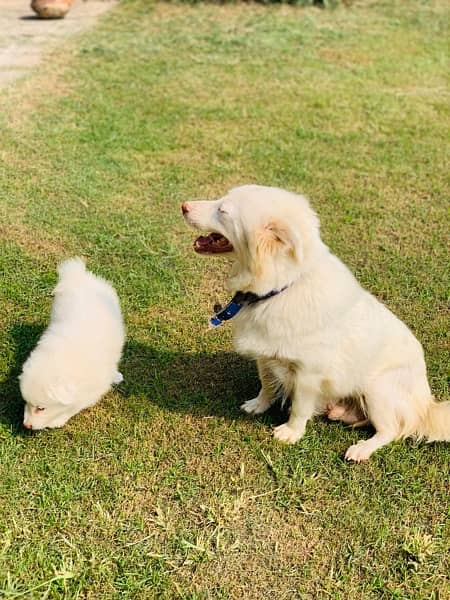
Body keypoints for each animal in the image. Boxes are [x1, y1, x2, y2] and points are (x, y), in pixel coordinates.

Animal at [20, 258, 125, 432]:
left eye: (41, 408)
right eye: (26, 402)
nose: (26, 426)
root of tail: (79, 276)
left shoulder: (92, 387)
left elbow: (75, 406)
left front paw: (58, 421)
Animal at [183, 185, 450, 462]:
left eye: (222, 210)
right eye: (220, 198)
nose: (183, 206)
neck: (280, 288)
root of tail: (427, 404)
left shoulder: (308, 373)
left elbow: (299, 407)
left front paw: (291, 433)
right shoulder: (265, 357)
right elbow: (266, 385)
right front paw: (258, 405)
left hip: (378, 389)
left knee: (391, 430)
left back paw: (361, 449)